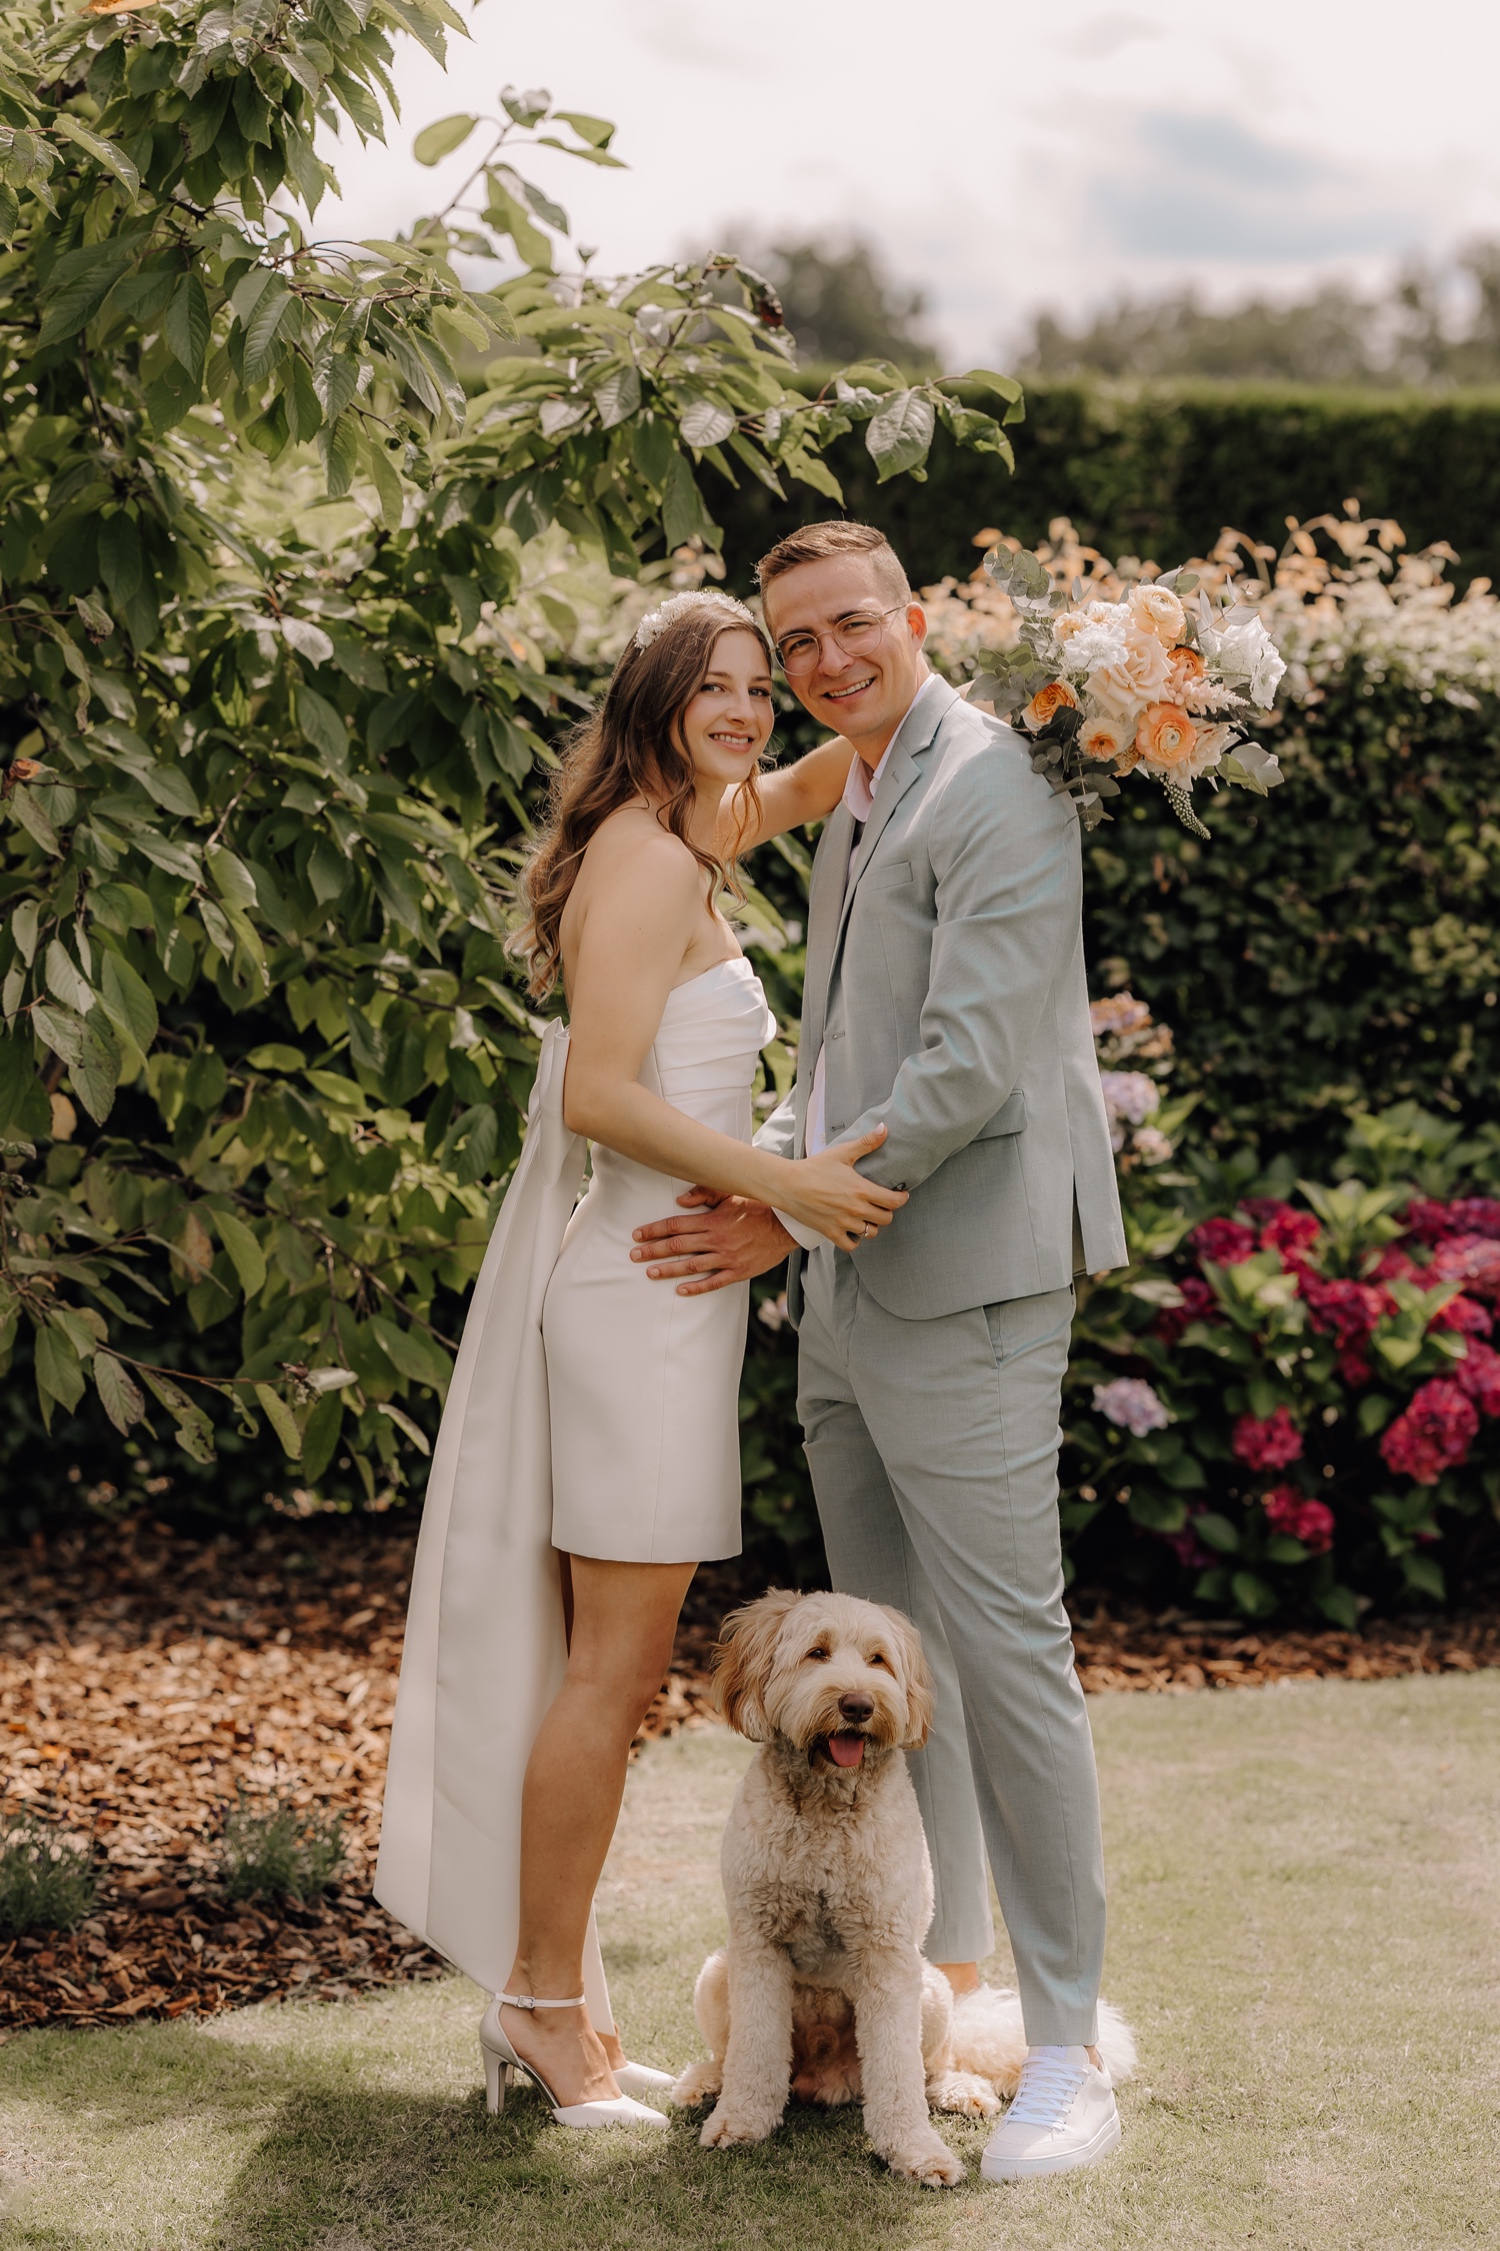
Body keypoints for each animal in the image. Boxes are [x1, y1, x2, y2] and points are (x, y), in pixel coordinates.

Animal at [666, 1584, 1135, 2178]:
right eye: (816, 1653)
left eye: (878, 1660)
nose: (859, 1706)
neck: (826, 1806)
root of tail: (826, 2079)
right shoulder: (757, 1945)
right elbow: (753, 2054)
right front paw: (739, 2121)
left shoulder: (886, 1953)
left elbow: (897, 2071)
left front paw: (916, 2151)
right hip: (716, 1974)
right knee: (727, 2054)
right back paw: (705, 2084)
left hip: (930, 1993)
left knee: (931, 2066)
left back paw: (959, 2090)